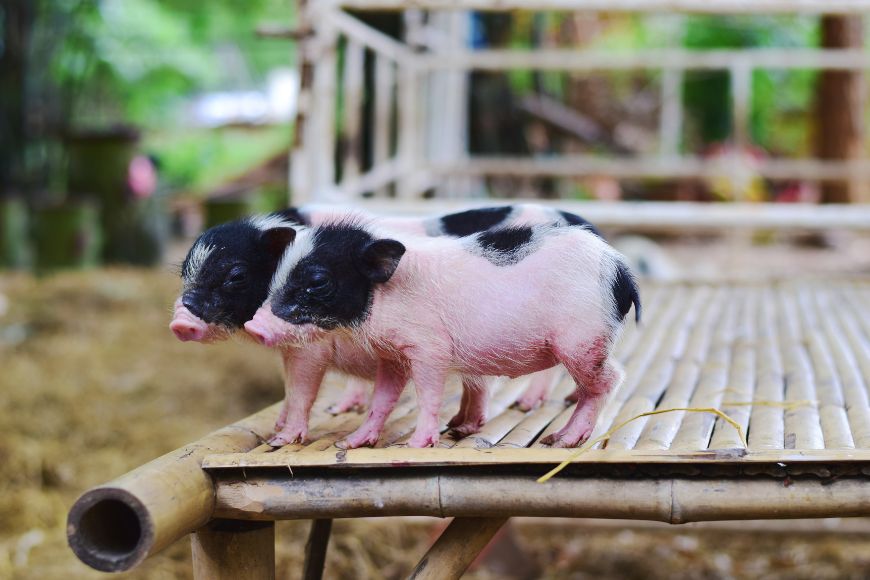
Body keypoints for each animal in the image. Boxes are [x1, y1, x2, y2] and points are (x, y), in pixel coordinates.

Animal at [247, 218, 640, 448]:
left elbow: (428, 395)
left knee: (610, 380)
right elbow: (382, 400)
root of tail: (621, 270)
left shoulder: (429, 348)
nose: (253, 326)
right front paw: (350, 444)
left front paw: (416, 445)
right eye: (278, 274)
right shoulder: (393, 355)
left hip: (582, 341)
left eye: (318, 281)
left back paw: (562, 441)